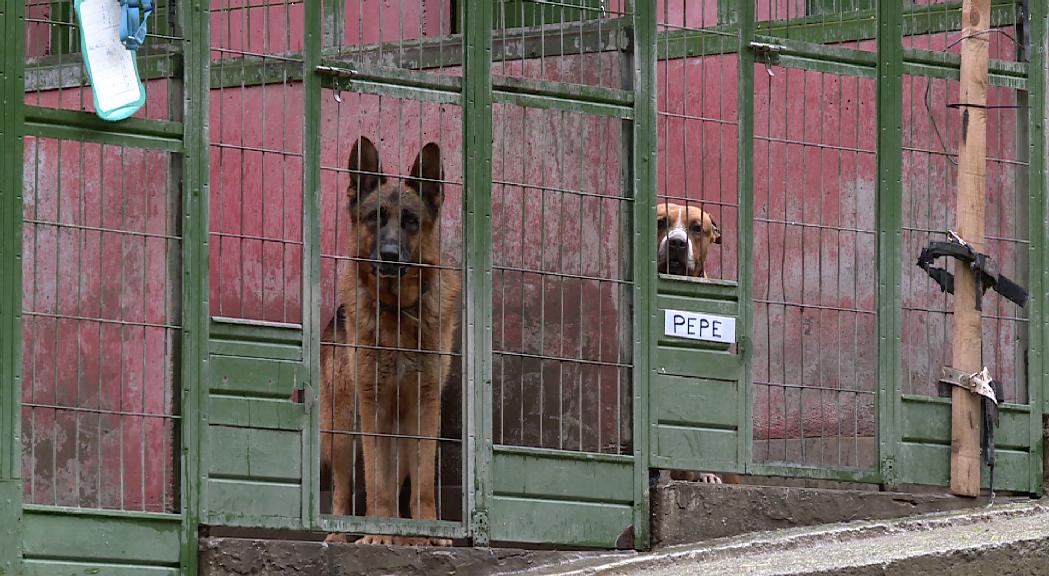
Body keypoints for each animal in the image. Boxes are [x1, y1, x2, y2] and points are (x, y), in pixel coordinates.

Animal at [320, 137, 461, 545]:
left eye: (410, 221)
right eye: (374, 218)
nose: (389, 255)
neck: (398, 314)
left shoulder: (425, 408)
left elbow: (423, 486)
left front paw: (426, 533)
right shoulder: (373, 408)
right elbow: (376, 482)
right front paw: (379, 535)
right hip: (341, 428)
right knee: (344, 489)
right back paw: (344, 533)